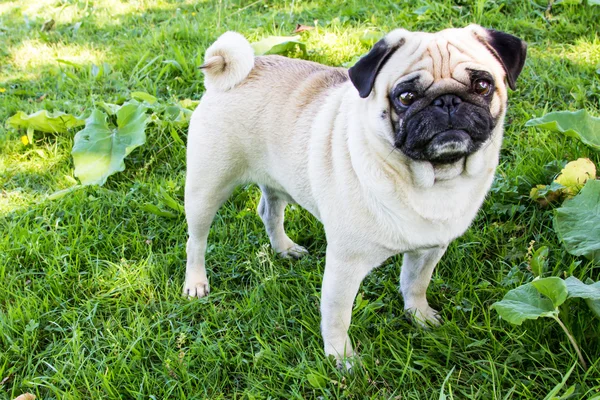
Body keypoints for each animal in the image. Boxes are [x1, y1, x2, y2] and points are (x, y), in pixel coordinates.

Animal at [183, 25, 524, 368]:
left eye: (482, 85)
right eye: (406, 97)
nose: (448, 101)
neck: (431, 182)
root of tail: (233, 71)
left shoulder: (430, 250)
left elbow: (416, 283)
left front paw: (420, 316)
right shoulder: (344, 265)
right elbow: (337, 315)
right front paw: (341, 358)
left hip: (276, 180)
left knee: (269, 211)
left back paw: (284, 249)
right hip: (205, 188)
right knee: (196, 241)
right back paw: (196, 283)